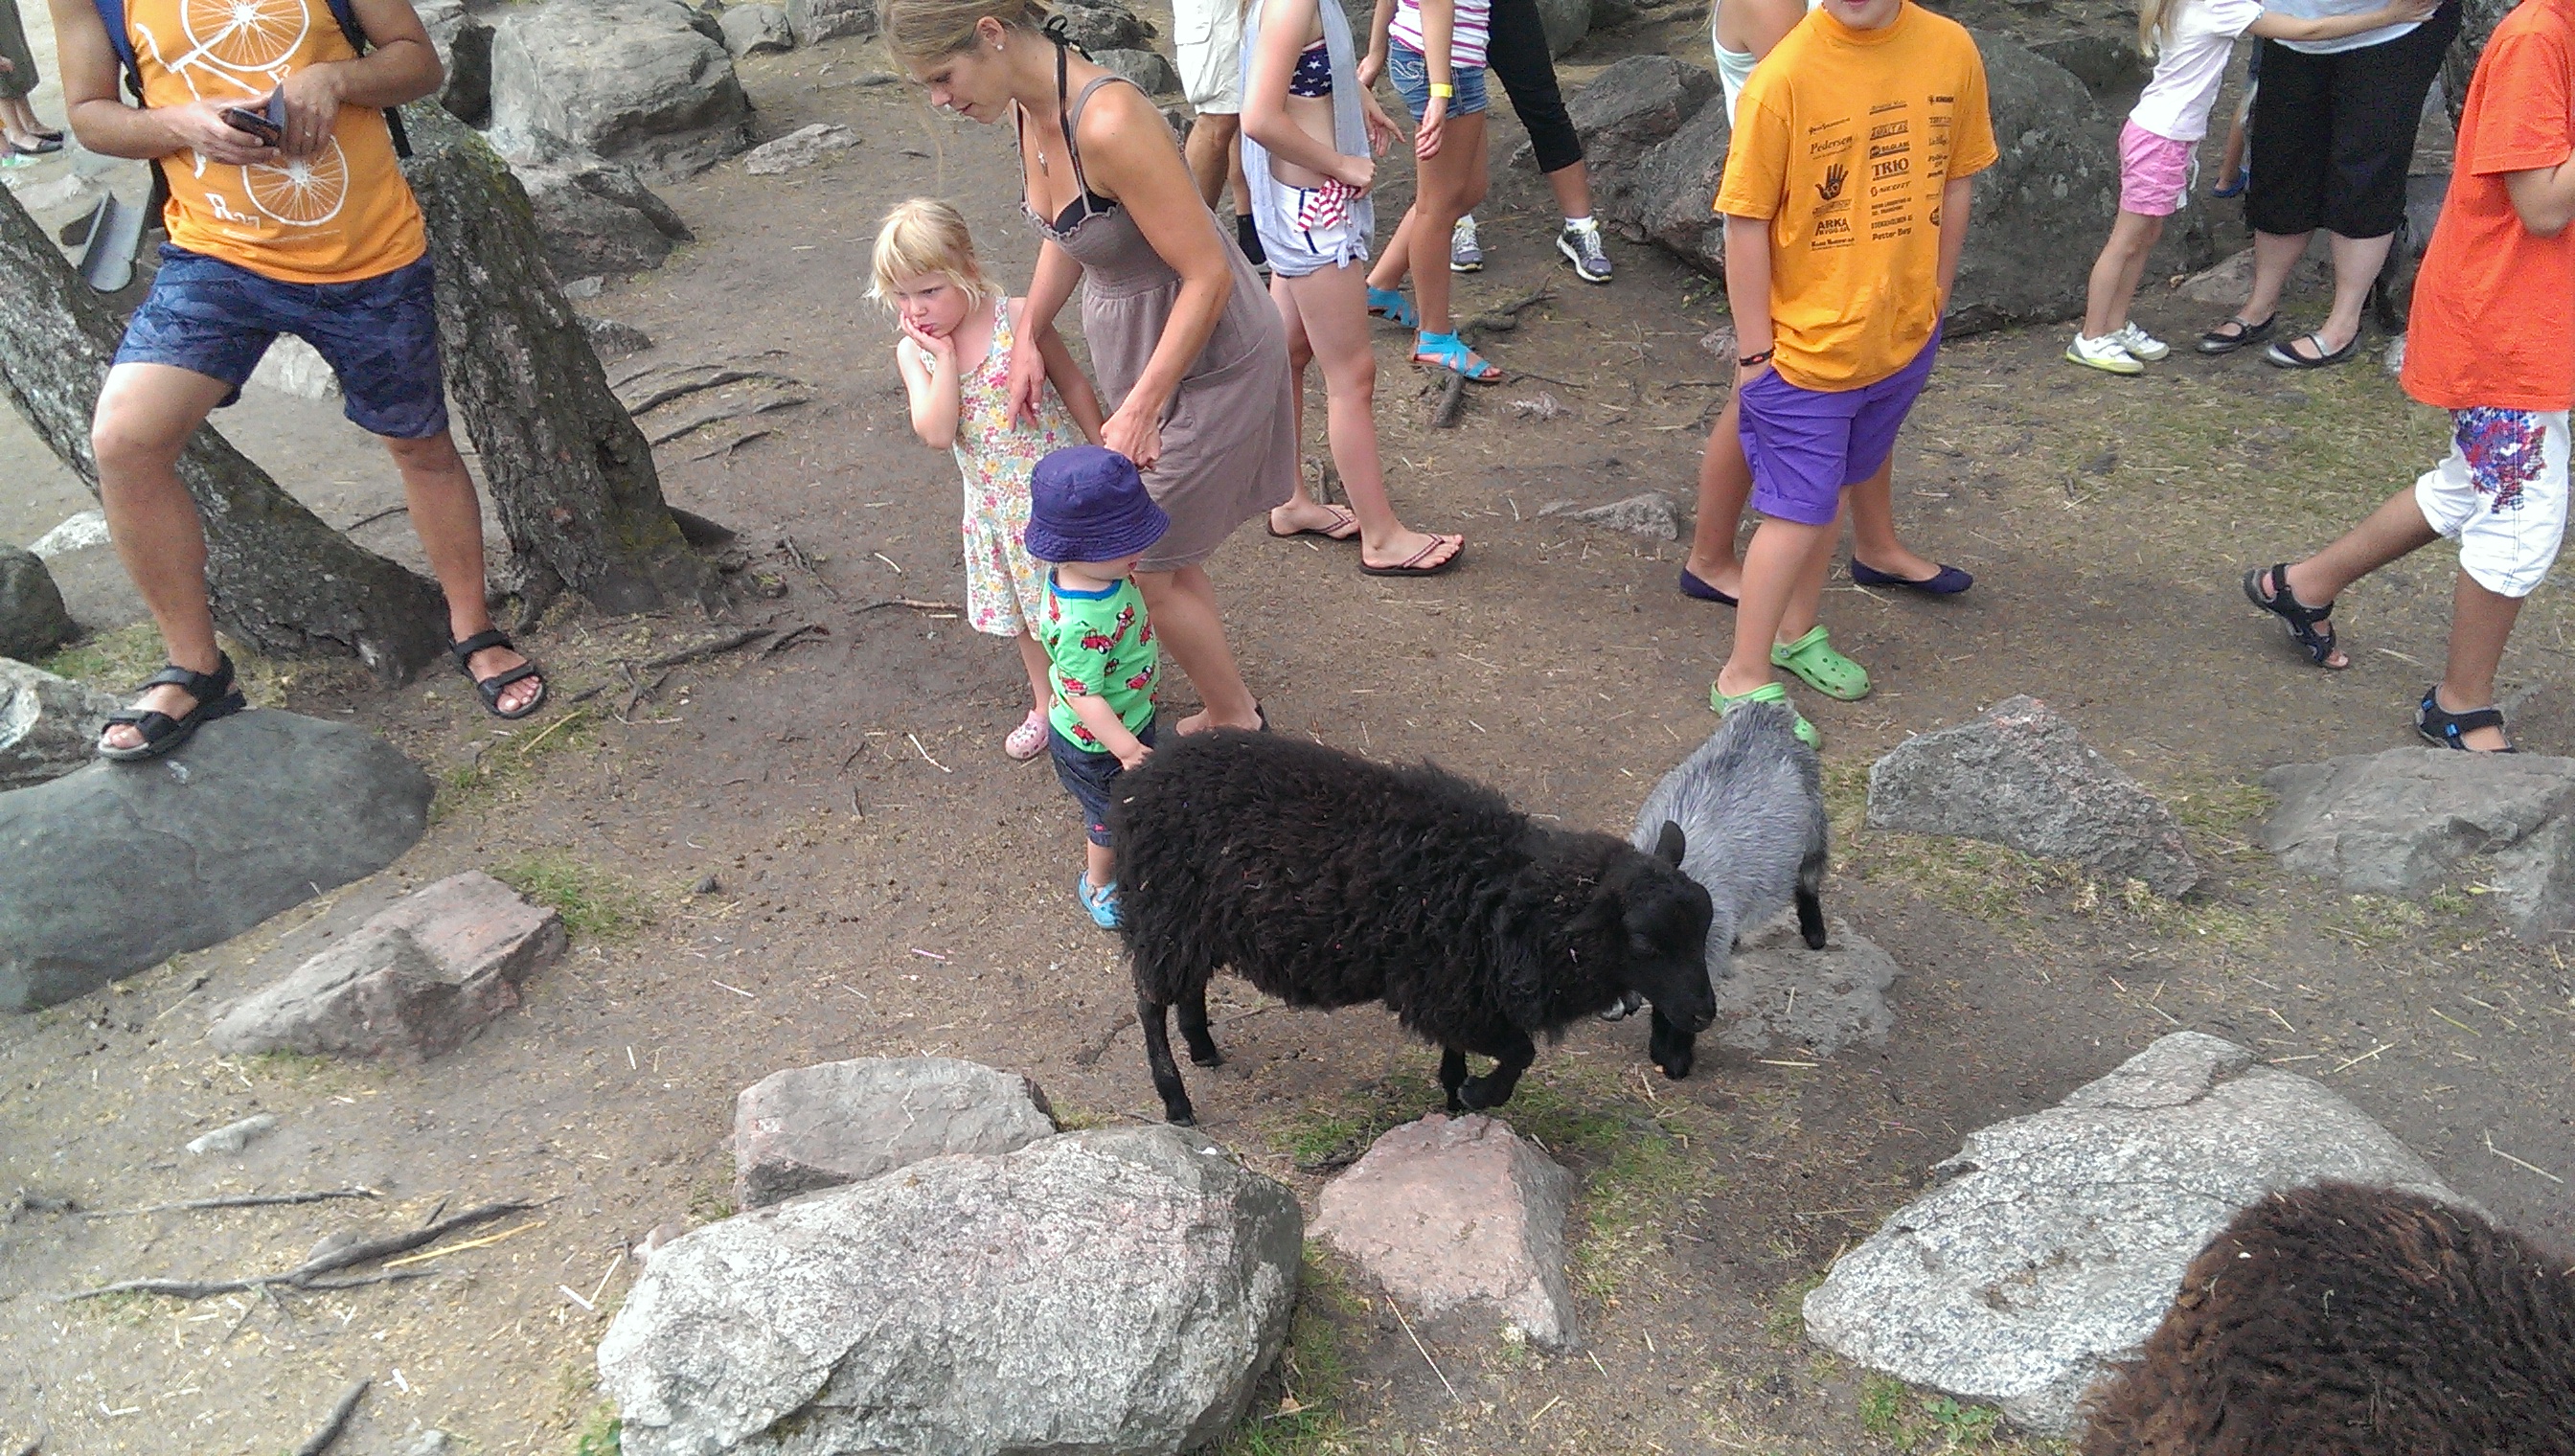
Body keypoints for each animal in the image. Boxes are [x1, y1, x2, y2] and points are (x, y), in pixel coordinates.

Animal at [1111, 729, 1716, 1126]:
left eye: (1705, 930)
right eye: (1645, 943)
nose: (1704, 1015)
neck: (1515, 895)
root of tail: (1141, 781)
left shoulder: (1462, 989)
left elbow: (1462, 1054)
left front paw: (1454, 1101)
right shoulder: (1442, 995)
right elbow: (1520, 1053)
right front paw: (1478, 1095)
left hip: (1194, 921)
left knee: (1187, 987)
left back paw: (1203, 1047)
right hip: (1166, 910)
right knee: (1149, 1004)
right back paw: (1176, 1099)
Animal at [1607, 700, 1828, 1081]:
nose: (1613, 1008)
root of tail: (1767, 715)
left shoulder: (1703, 955)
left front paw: (1674, 1058)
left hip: (1814, 828)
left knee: (1809, 879)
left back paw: (1815, 933)